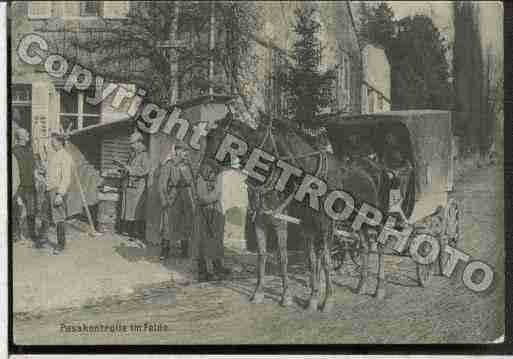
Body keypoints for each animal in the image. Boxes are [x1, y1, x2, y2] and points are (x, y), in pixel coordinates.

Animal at [202, 109, 386, 312]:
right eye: (208, 138)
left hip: (377, 219)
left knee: (379, 247)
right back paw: (362, 285)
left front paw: (323, 299)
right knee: (364, 246)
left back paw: (378, 289)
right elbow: (284, 257)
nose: (204, 171)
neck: (311, 177)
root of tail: (376, 166)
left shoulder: (314, 223)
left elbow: (316, 259)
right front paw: (308, 298)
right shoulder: (290, 222)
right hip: (357, 221)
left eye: (223, 139)